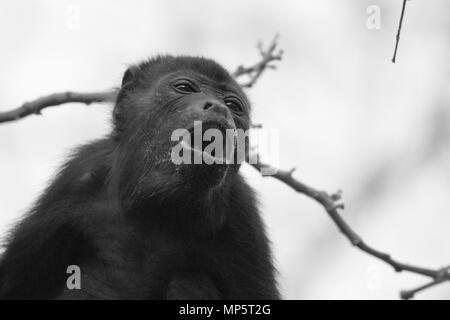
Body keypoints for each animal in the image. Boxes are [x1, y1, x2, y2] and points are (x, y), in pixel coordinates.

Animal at [0, 55, 280, 300]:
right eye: (184, 87)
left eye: (234, 106)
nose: (220, 108)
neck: (154, 208)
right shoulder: (74, 182)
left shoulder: (242, 219)